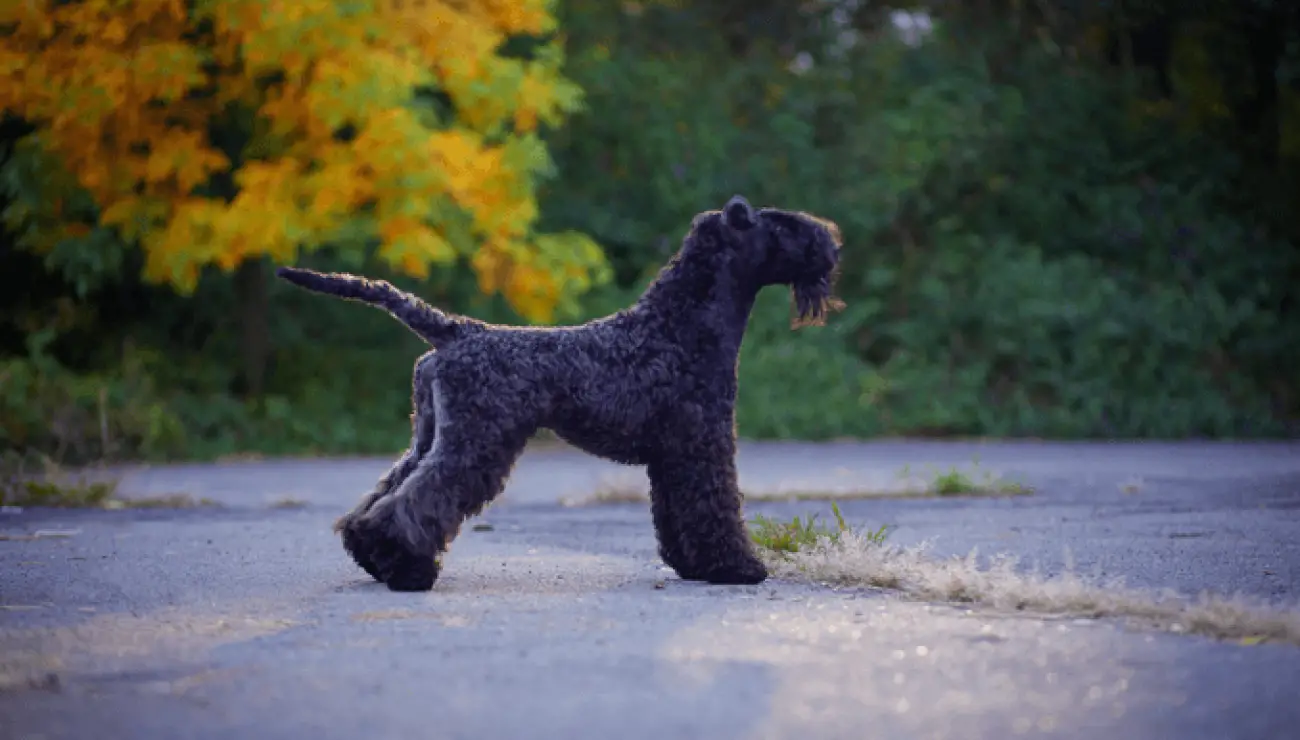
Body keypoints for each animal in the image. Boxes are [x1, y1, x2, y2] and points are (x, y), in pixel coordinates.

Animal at [275, 193, 842, 590]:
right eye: (784, 224)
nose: (832, 244)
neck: (679, 324)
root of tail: (454, 331)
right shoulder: (704, 442)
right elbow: (716, 505)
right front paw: (738, 567)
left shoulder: (673, 454)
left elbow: (675, 512)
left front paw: (692, 566)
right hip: (475, 444)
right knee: (416, 499)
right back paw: (408, 572)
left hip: (431, 435)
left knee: (386, 490)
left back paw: (371, 555)